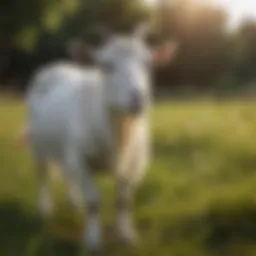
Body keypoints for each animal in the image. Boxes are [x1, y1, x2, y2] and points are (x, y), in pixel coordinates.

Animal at [23, 25, 176, 250]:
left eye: (147, 63)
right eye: (107, 65)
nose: (138, 98)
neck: (119, 134)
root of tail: (58, 66)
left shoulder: (133, 164)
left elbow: (123, 201)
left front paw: (126, 235)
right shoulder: (81, 160)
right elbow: (93, 201)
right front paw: (93, 240)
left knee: (67, 173)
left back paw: (72, 202)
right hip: (38, 144)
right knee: (42, 175)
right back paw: (44, 209)